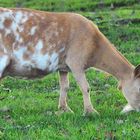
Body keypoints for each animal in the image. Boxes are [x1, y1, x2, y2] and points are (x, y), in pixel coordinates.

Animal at [0, 7, 140, 115]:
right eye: (139, 90)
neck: (95, 47)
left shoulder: (63, 66)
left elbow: (65, 86)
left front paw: (64, 109)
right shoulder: (75, 61)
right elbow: (85, 87)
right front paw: (90, 112)